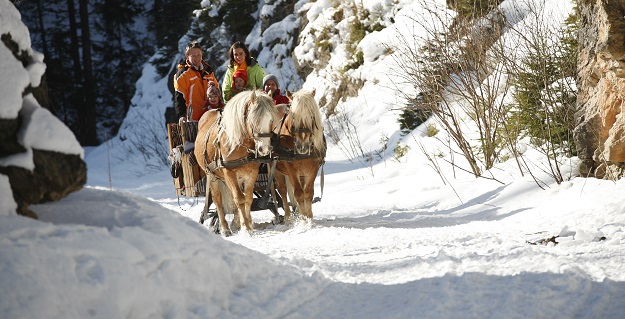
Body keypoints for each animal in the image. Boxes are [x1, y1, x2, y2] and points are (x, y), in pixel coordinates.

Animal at [193, 90, 276, 235]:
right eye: (254, 119)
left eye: (271, 119)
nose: (264, 149)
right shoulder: (229, 172)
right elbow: (239, 198)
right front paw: (246, 227)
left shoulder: (252, 173)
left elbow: (247, 198)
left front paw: (247, 224)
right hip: (212, 175)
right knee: (218, 200)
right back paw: (225, 228)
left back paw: (236, 222)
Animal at [276, 89, 326, 221]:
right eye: (293, 116)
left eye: (312, 114)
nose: (302, 145)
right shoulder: (291, 168)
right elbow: (298, 193)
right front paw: (303, 220)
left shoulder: (314, 167)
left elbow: (308, 192)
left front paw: (308, 217)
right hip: (276, 170)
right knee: (282, 190)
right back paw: (288, 217)